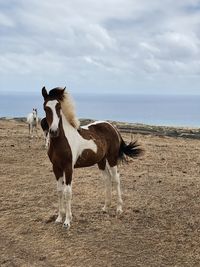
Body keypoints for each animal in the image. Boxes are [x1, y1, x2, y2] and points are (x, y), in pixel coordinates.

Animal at [41, 87, 143, 229]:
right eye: (45, 107)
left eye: (59, 107)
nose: (54, 131)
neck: (61, 142)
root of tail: (113, 127)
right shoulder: (56, 167)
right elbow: (60, 191)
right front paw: (59, 218)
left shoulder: (68, 167)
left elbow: (68, 192)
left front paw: (67, 221)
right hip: (101, 160)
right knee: (107, 179)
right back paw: (105, 207)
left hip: (112, 158)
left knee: (116, 178)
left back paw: (119, 209)